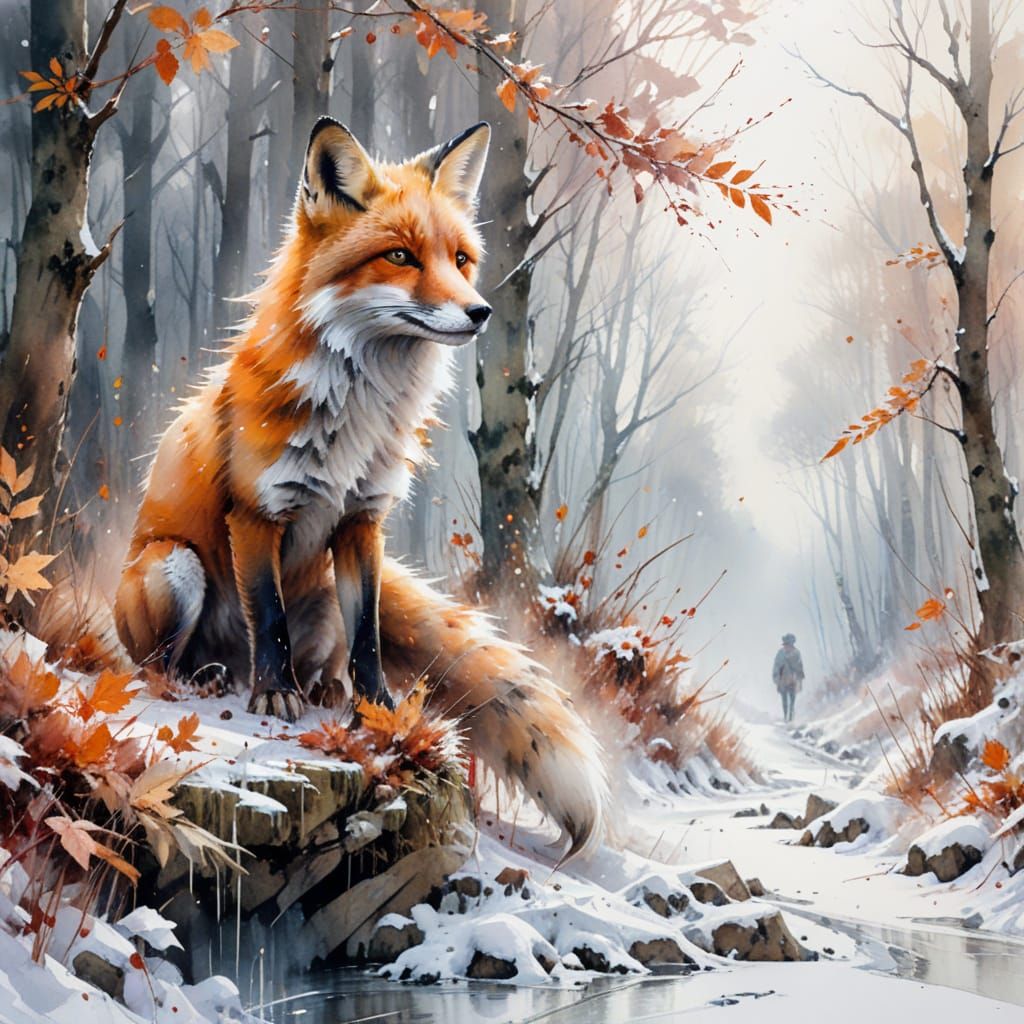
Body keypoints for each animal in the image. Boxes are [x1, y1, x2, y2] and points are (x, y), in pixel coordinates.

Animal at [112, 118, 608, 857]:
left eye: (460, 259)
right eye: (400, 256)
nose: (481, 312)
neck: (357, 417)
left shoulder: (361, 520)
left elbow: (370, 631)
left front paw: (376, 710)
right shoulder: (256, 515)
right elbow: (269, 620)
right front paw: (274, 695)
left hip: (318, 600)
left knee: (327, 649)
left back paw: (318, 690)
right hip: (175, 567)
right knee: (159, 660)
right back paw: (207, 678)